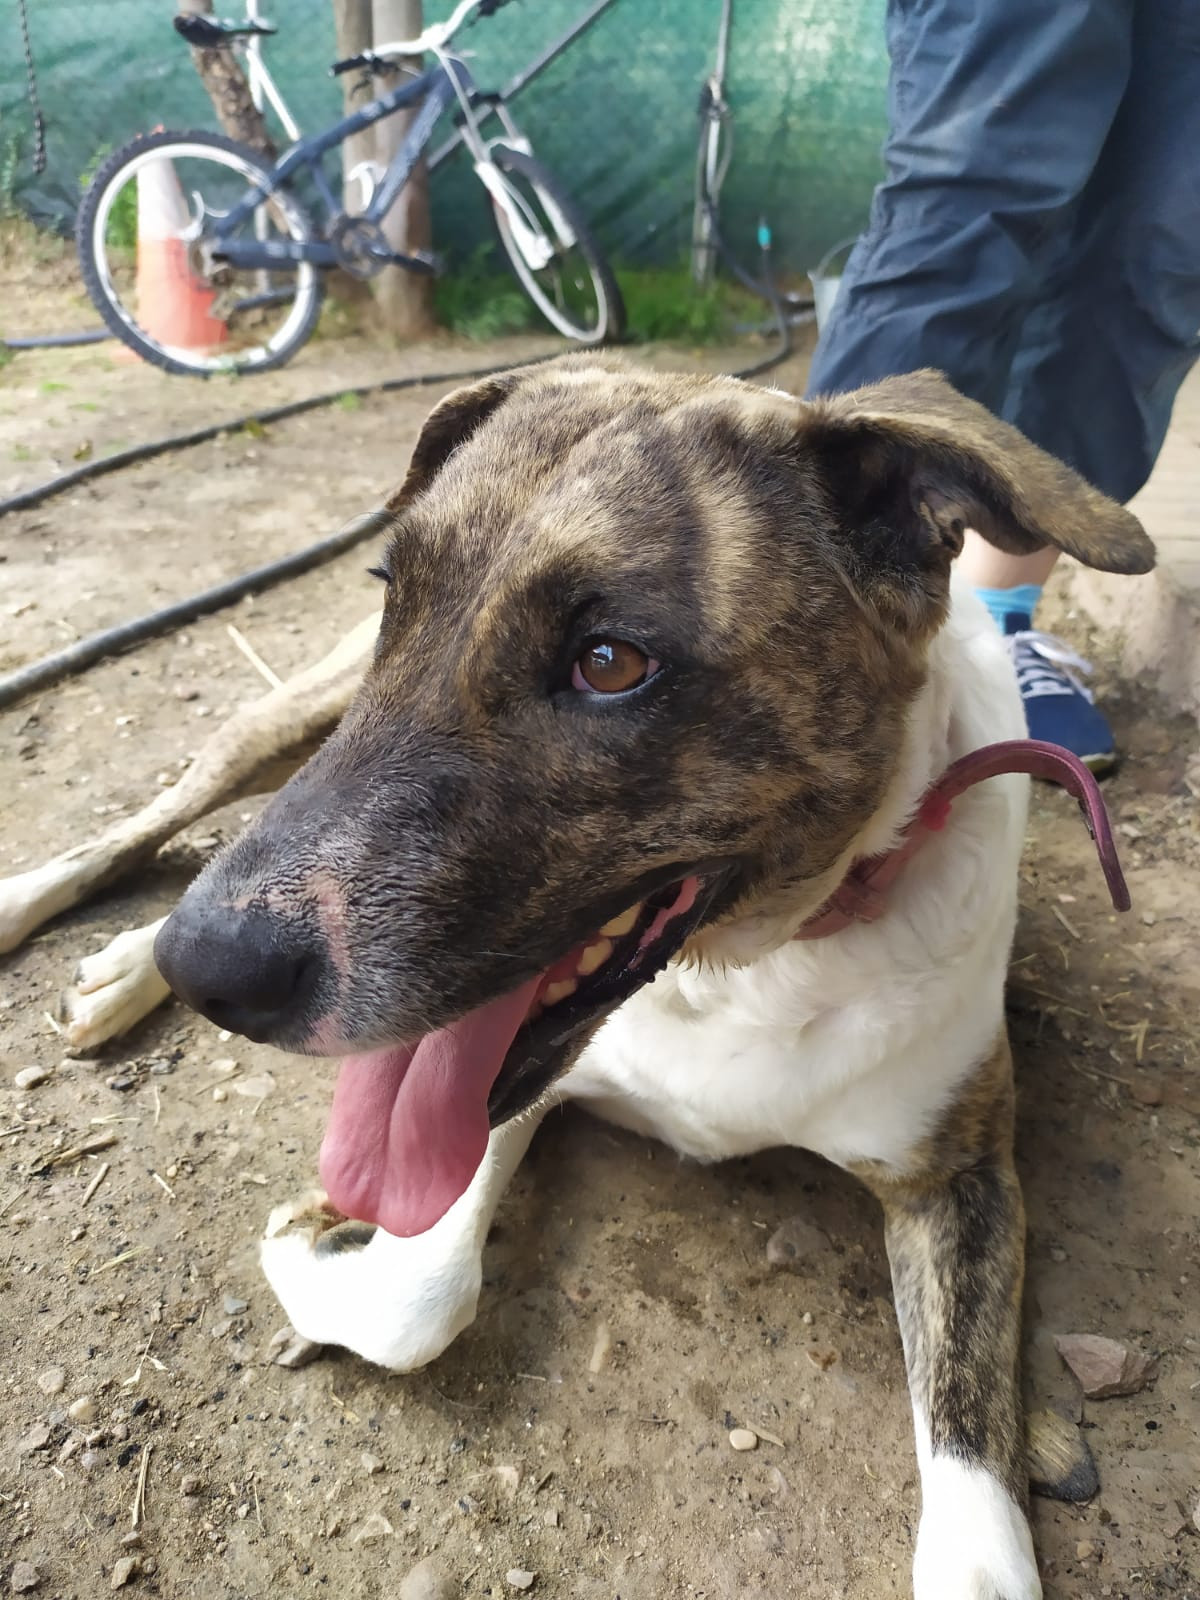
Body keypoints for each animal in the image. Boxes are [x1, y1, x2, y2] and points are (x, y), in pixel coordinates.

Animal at [143, 355, 1153, 1599]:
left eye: (610, 662)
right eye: (393, 593)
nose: (203, 969)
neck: (748, 967)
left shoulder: (959, 1177)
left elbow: (976, 1518)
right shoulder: (511, 1099)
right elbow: (417, 1295)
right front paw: (313, 1237)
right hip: (293, 722)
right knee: (166, 806)